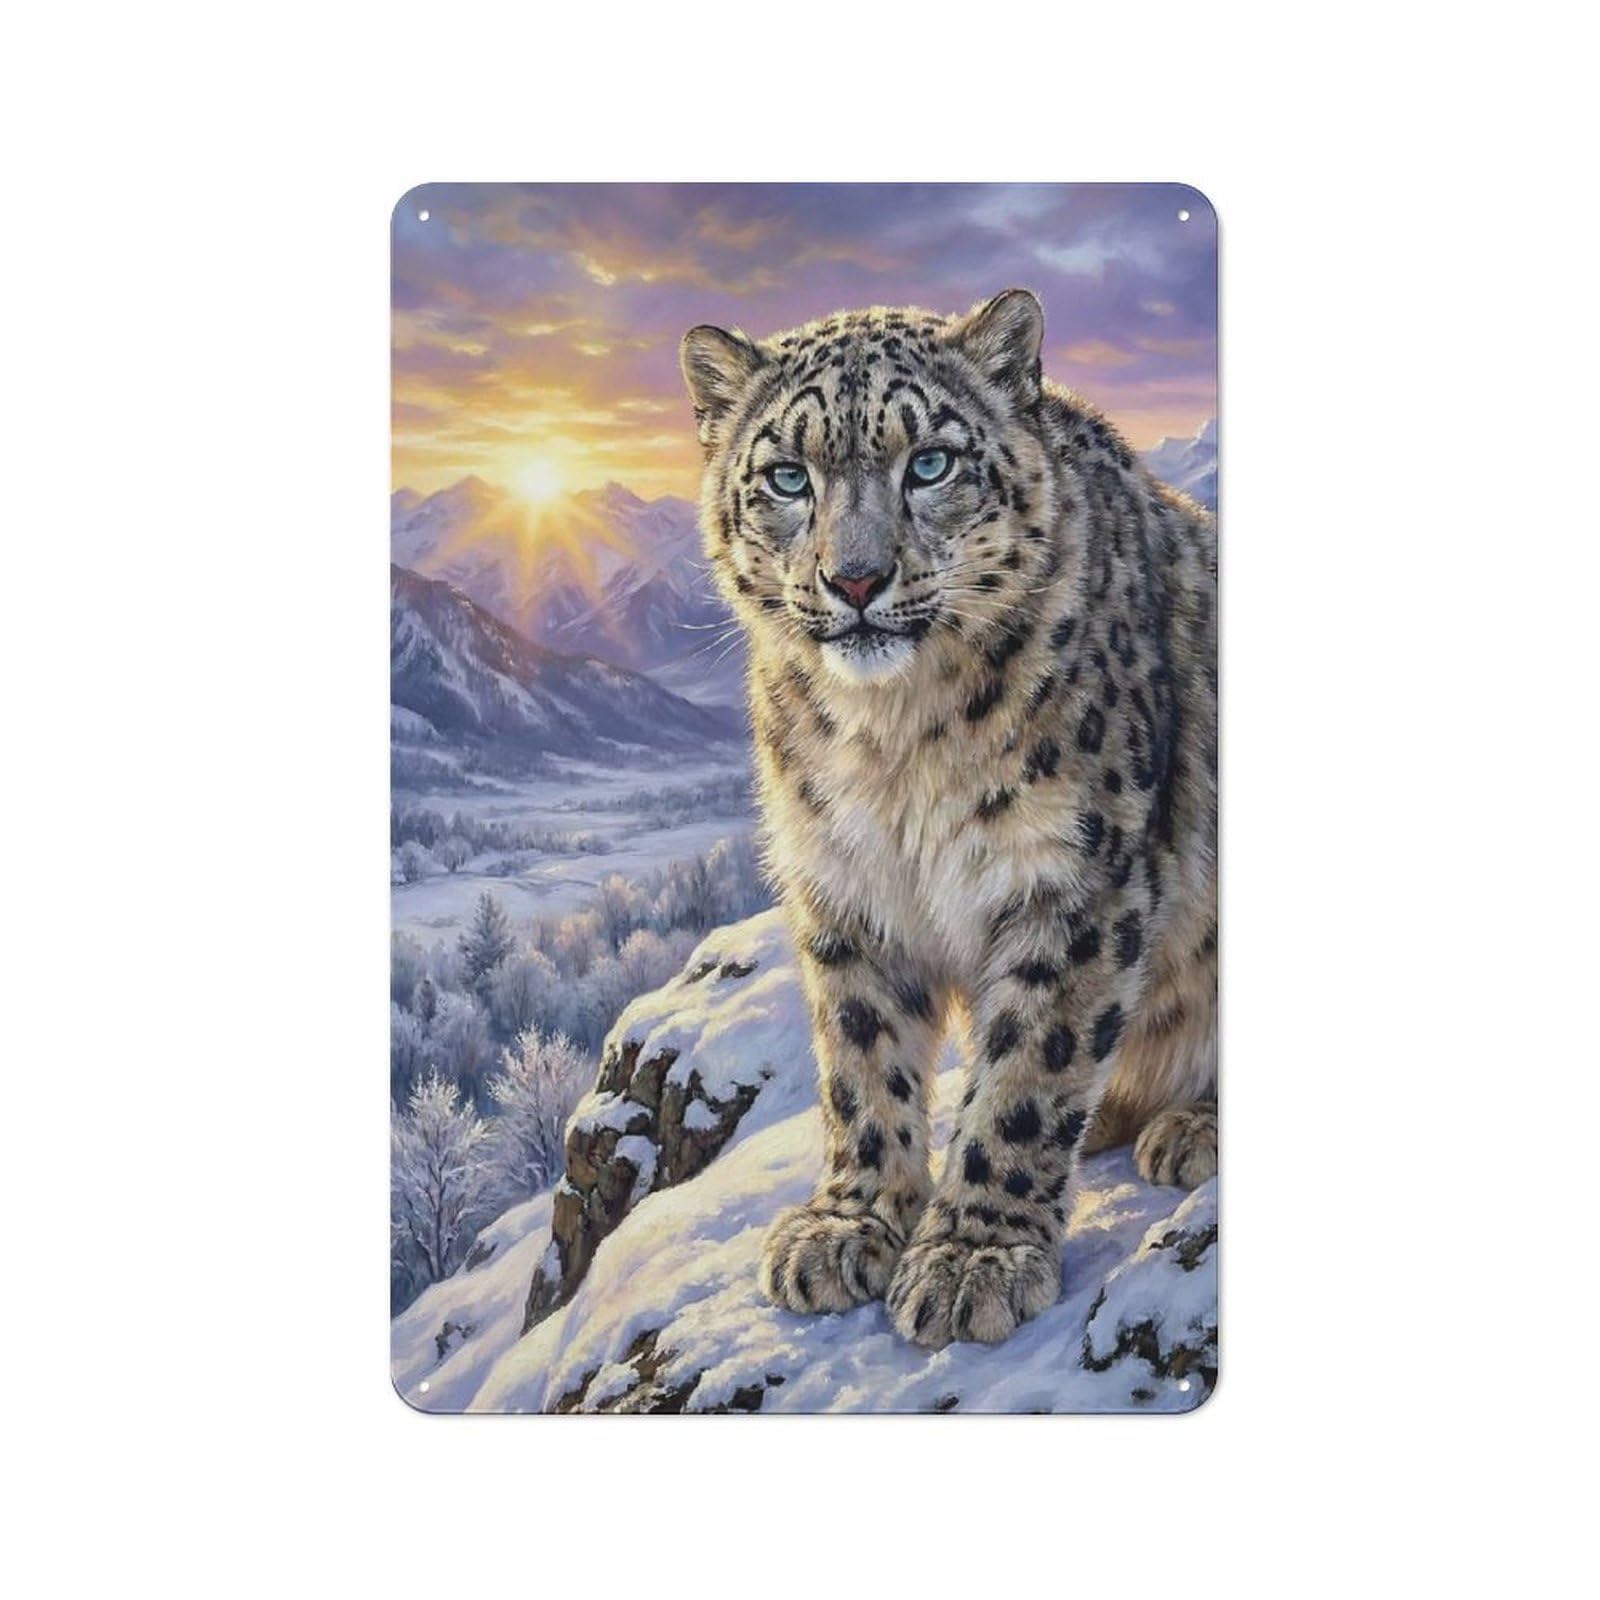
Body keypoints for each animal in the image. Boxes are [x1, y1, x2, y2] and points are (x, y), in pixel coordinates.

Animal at [679, 290, 1216, 1349]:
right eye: (787, 476)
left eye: (929, 462)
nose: (855, 580)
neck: (895, 744)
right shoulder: (843, 880)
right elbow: (859, 1055)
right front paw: (850, 1224)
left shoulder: (1071, 878)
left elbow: (1028, 1072)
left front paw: (974, 1257)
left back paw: (1189, 1129)